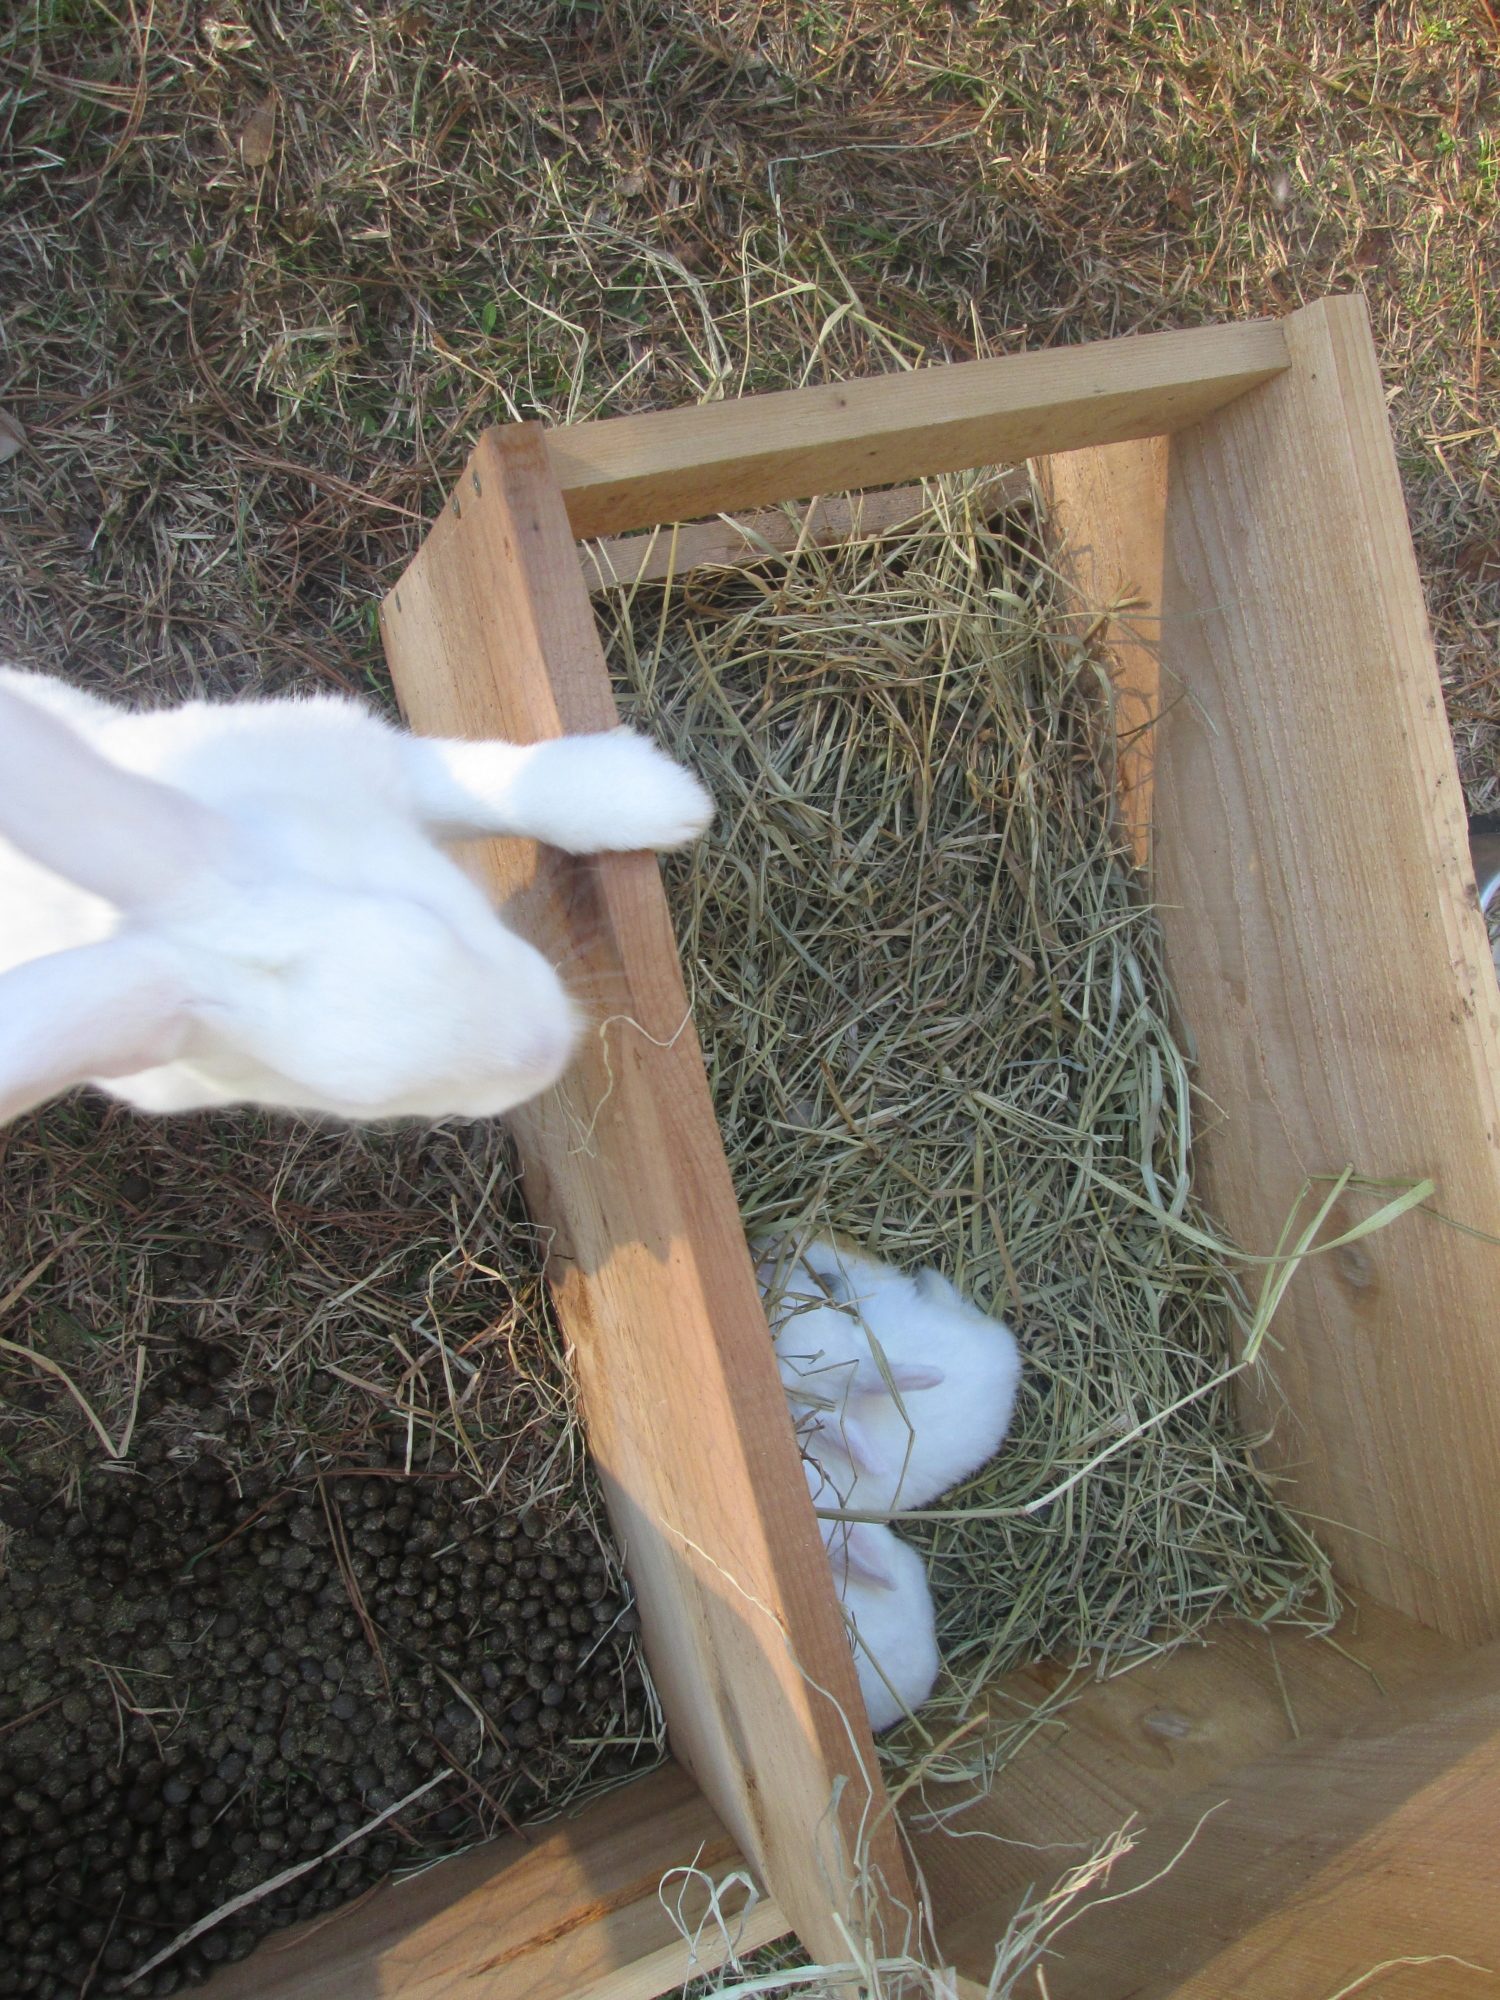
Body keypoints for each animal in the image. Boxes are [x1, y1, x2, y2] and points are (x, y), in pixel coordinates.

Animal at [0, 667, 713, 1126]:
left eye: (430, 923)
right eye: (359, 1102)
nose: (550, 1046)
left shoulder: (378, 766)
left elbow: (487, 788)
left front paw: (662, 798)